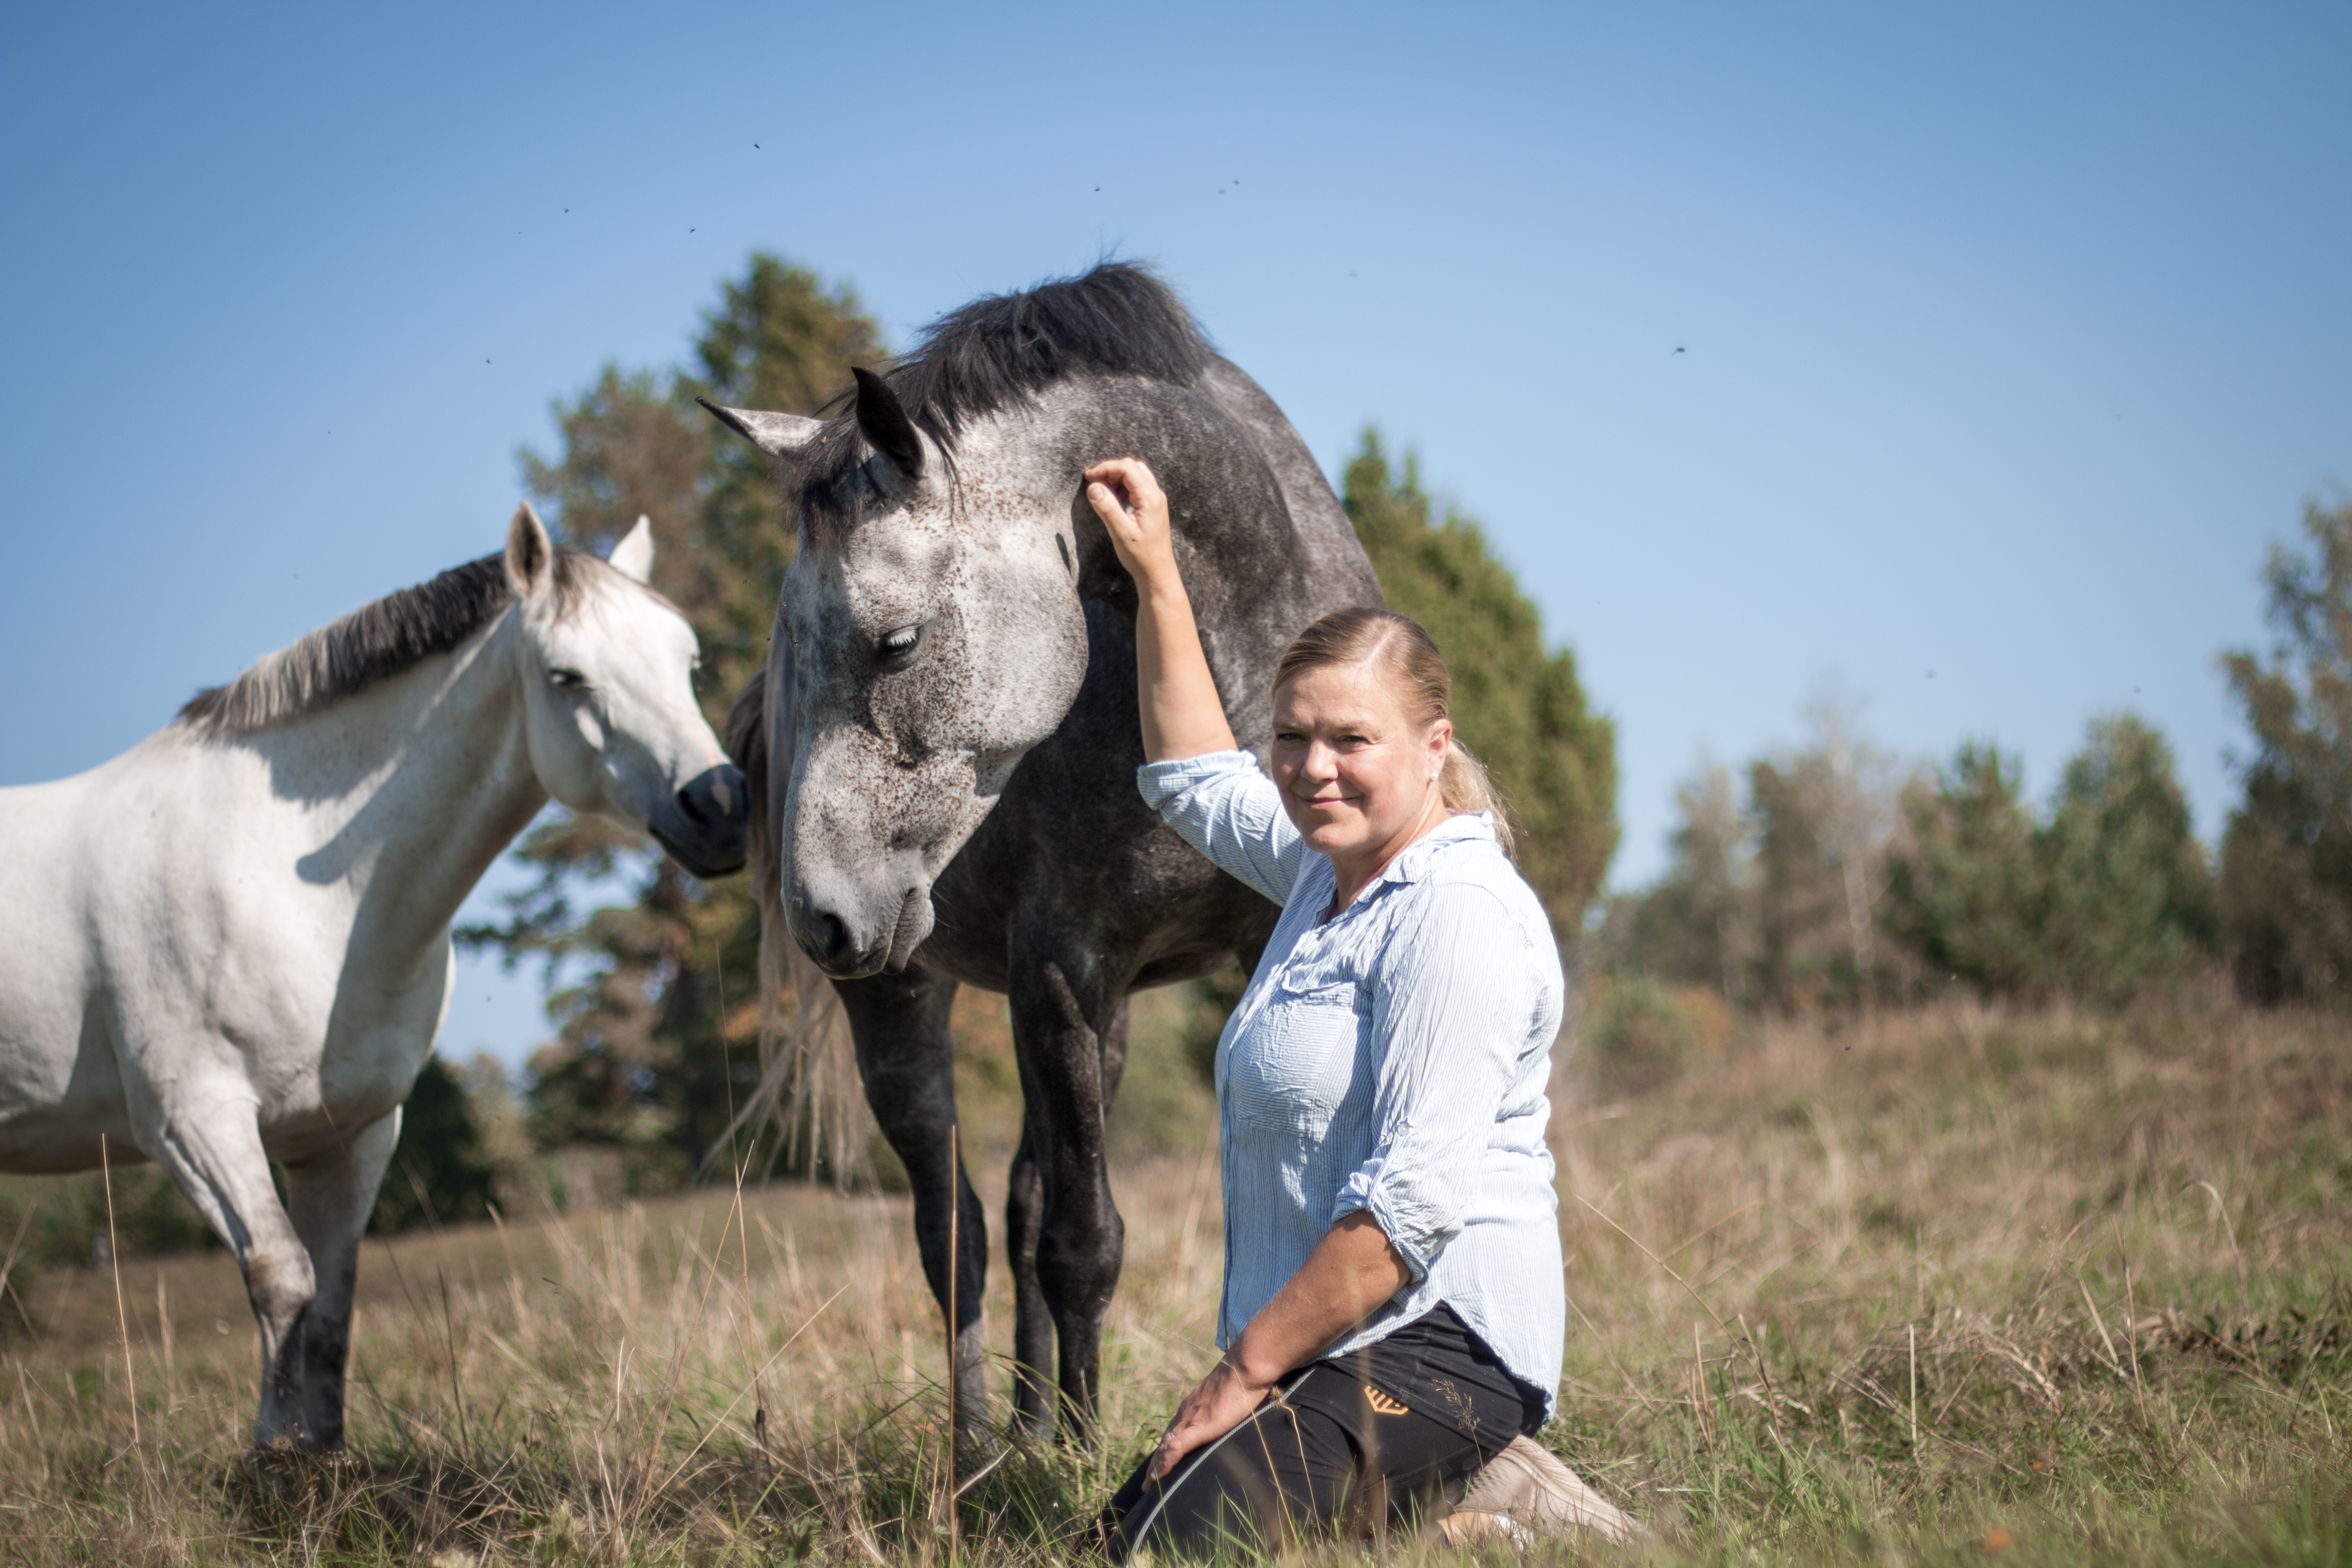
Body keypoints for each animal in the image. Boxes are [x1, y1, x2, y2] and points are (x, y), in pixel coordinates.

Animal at [0, 510, 743, 1457]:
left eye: (687, 661)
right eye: (566, 676)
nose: (720, 806)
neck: (285, 879)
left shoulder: (347, 1132)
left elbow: (332, 1306)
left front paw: (321, 1461)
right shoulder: (192, 1121)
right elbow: (281, 1278)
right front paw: (272, 1463)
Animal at [705, 266, 1383, 1448]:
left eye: (895, 642)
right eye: (798, 642)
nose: (823, 918)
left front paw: (1080, 1435)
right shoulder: (1064, 968)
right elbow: (1082, 1245)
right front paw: (1081, 1459)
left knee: (1018, 1207)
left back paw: (1030, 1428)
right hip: (908, 1003)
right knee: (958, 1231)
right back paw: (981, 1450)